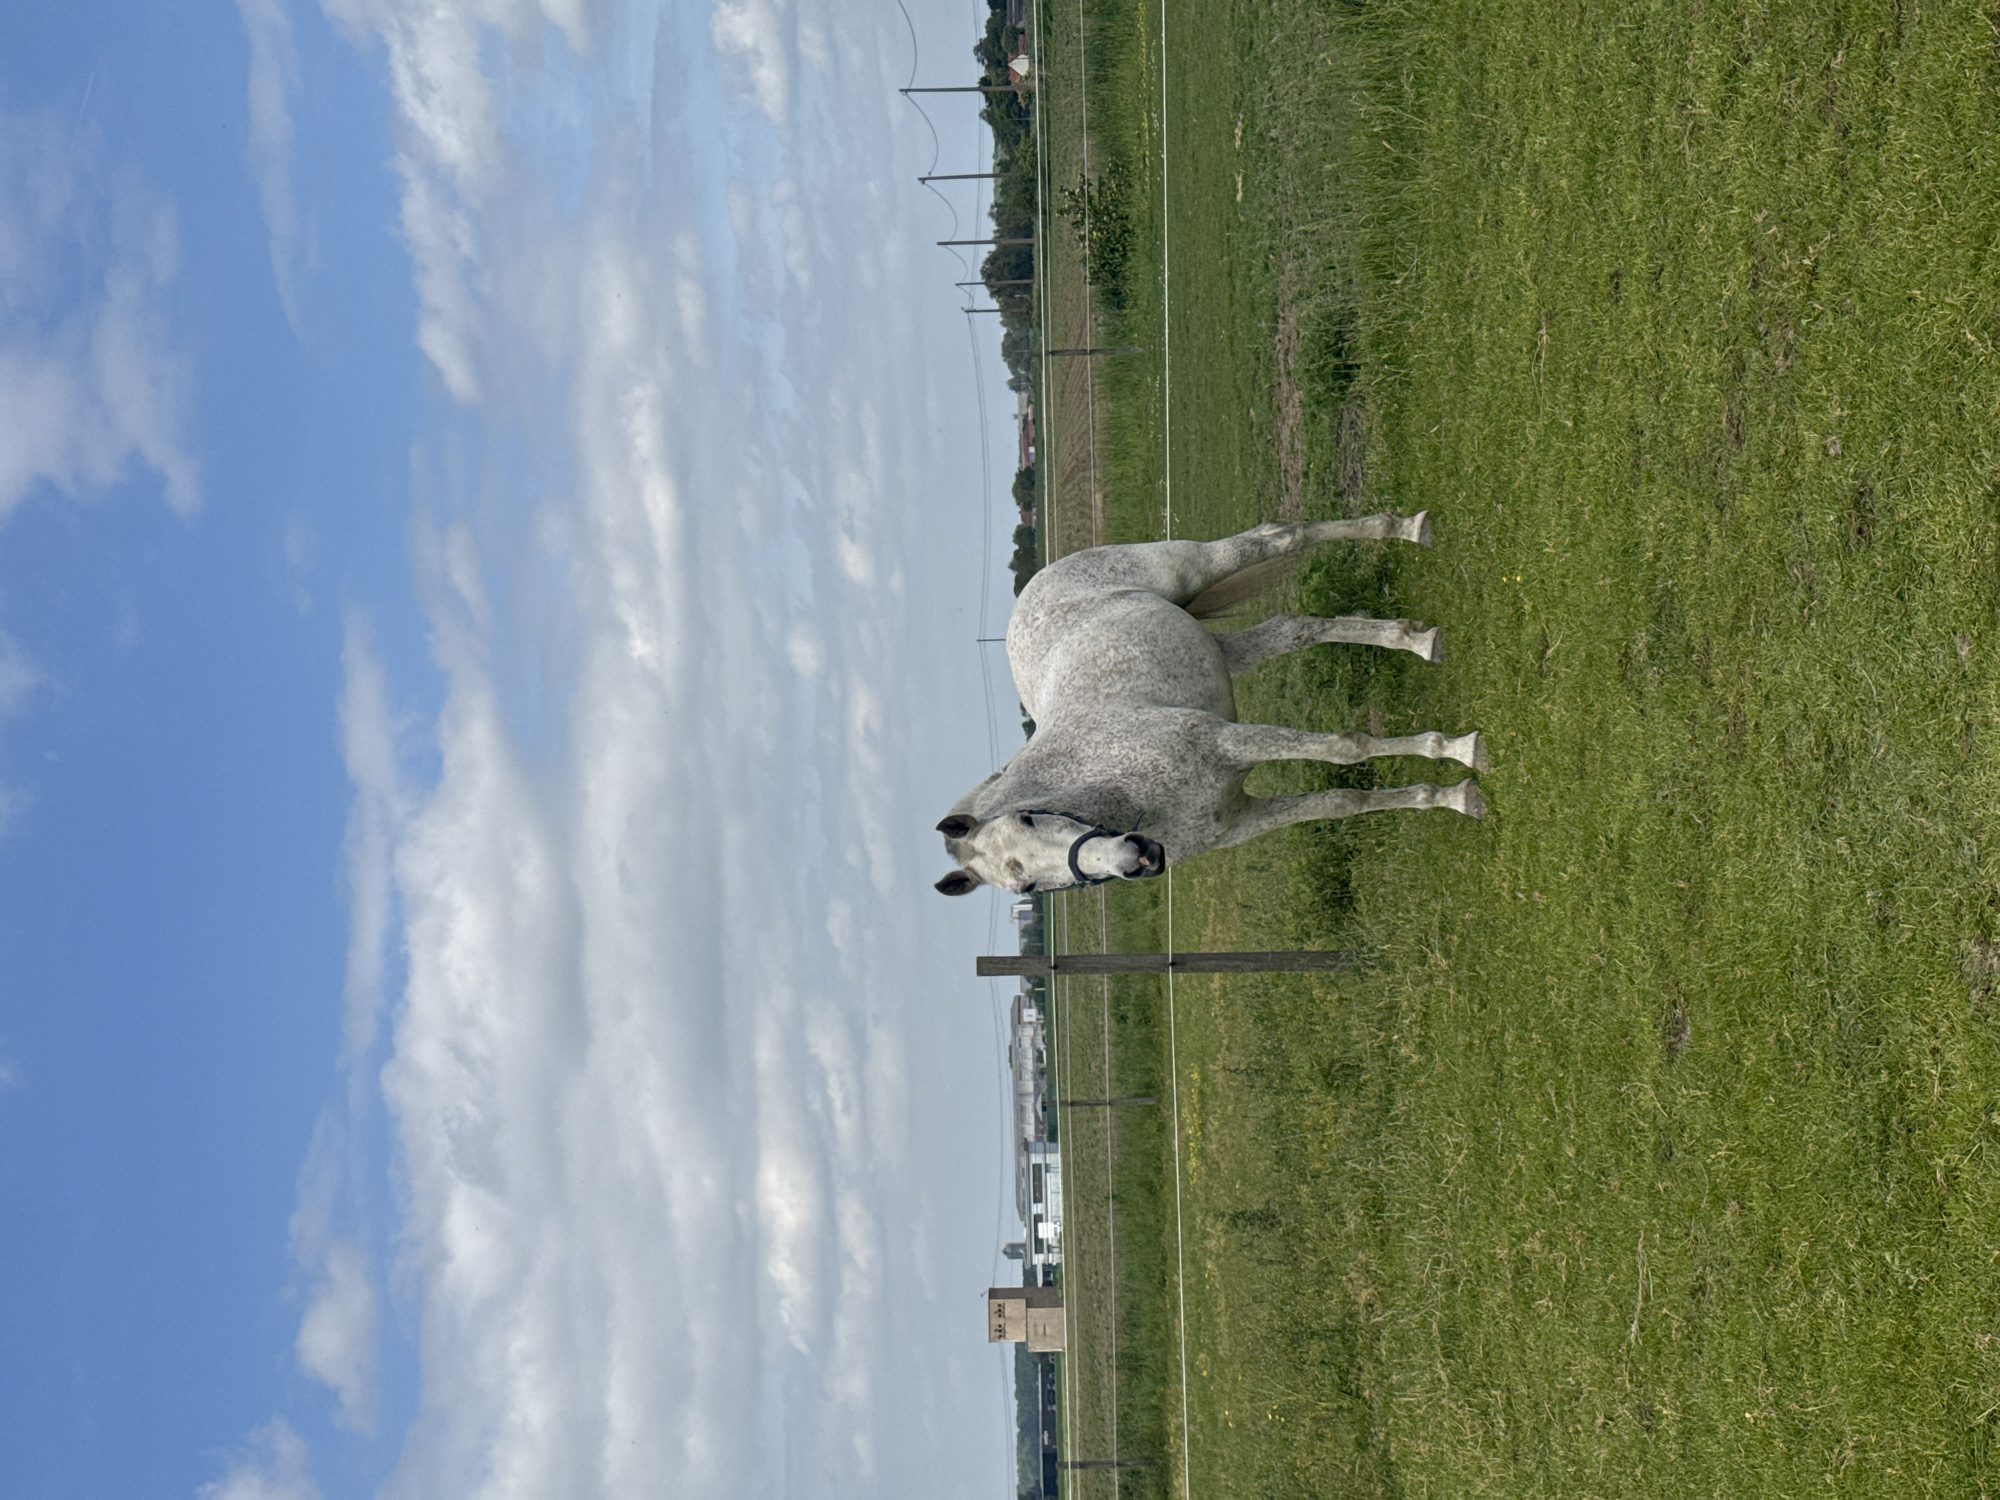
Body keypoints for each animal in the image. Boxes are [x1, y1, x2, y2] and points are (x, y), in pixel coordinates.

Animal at [934, 514, 1486, 897]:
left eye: (1030, 819)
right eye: (1028, 886)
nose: (1132, 857)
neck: (1117, 785)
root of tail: (1036, 582)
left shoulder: (1229, 740)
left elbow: (1345, 748)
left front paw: (1457, 752)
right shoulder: (1242, 820)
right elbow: (1342, 802)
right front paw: (1446, 796)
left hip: (1193, 567)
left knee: (1279, 538)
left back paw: (1407, 529)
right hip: (1223, 649)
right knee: (1296, 628)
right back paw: (1415, 639)